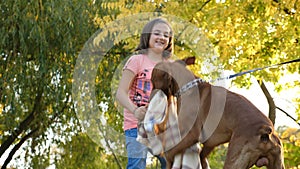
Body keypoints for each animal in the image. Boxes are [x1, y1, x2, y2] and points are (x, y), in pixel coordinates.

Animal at [151, 59, 284, 169]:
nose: (151, 92)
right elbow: (202, 156)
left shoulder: (190, 134)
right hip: (276, 162)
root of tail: (265, 130)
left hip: (234, 161)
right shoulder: (210, 141)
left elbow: (170, 151)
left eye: (152, 79)